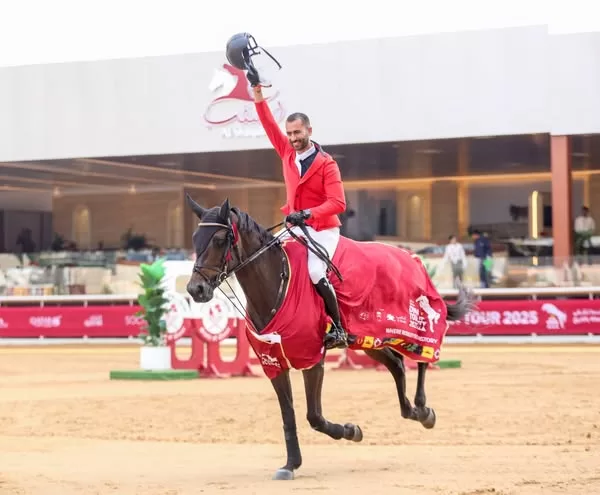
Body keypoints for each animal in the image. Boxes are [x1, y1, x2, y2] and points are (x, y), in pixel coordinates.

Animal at [185, 196, 476, 482]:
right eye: (195, 238)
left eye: (219, 239)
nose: (195, 289)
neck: (276, 284)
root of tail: (409, 256)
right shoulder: (273, 362)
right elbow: (288, 414)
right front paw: (291, 464)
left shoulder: (311, 358)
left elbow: (314, 415)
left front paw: (351, 430)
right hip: (370, 339)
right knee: (397, 366)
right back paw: (412, 411)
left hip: (411, 325)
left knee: (424, 356)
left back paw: (424, 410)